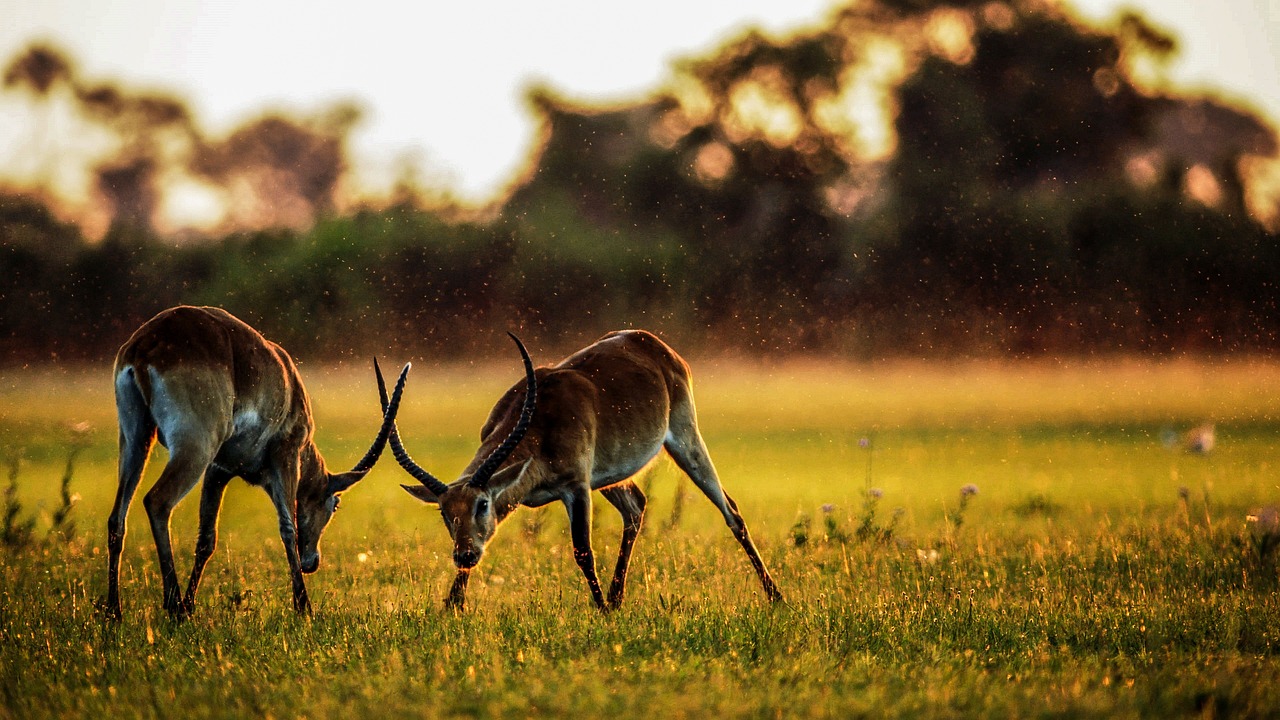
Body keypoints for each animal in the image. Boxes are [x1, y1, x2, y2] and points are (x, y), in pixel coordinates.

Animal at [108, 305, 410, 619]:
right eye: (335, 504)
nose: (312, 561)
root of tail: (146, 344)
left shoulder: (218, 470)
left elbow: (206, 539)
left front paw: (191, 606)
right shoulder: (285, 455)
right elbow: (288, 527)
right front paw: (303, 607)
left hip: (136, 439)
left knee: (117, 518)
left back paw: (114, 612)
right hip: (195, 448)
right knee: (157, 501)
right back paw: (173, 607)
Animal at [381, 330, 781, 611]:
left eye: (482, 504)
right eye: (445, 512)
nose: (463, 555)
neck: (539, 421)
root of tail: (652, 343)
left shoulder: (576, 486)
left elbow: (583, 551)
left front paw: (600, 608)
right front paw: (451, 606)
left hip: (685, 439)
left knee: (731, 511)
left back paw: (775, 596)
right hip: (611, 476)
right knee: (636, 506)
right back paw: (618, 599)